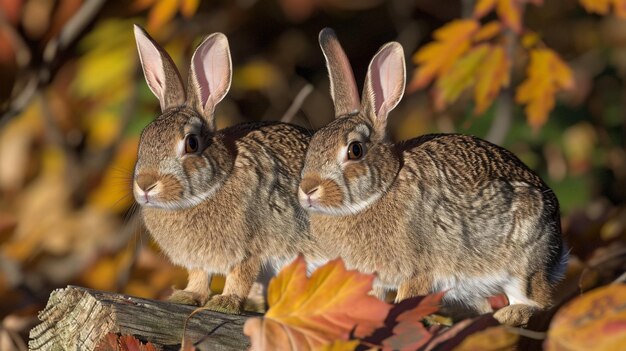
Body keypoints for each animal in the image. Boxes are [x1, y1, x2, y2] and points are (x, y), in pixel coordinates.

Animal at [129, 26, 320, 314]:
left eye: (191, 144)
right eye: (144, 138)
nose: (145, 185)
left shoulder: (251, 249)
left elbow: (240, 276)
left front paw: (224, 303)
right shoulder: (198, 261)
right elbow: (199, 277)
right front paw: (187, 297)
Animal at [298, 28, 564, 328]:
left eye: (355, 150)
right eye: (314, 144)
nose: (308, 190)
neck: (380, 191)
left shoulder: (418, 271)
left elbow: (407, 299)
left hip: (522, 264)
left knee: (539, 302)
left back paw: (509, 314)